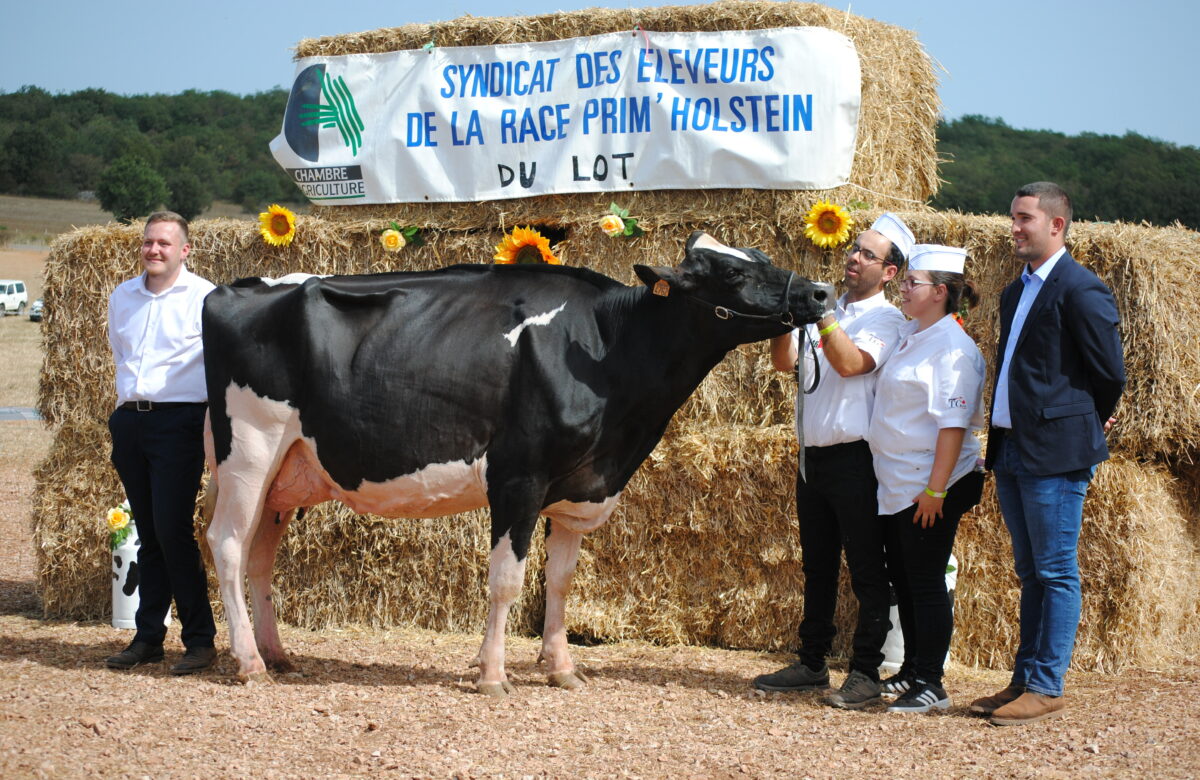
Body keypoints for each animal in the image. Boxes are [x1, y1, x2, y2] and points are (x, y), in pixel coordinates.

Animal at [201, 230, 830, 691]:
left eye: (761, 257)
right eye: (734, 274)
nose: (821, 293)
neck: (606, 351)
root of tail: (232, 289)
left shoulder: (579, 487)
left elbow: (560, 581)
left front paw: (562, 670)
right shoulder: (518, 478)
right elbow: (506, 581)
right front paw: (493, 676)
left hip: (286, 473)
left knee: (260, 556)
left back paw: (276, 654)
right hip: (248, 451)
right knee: (228, 545)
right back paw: (250, 665)